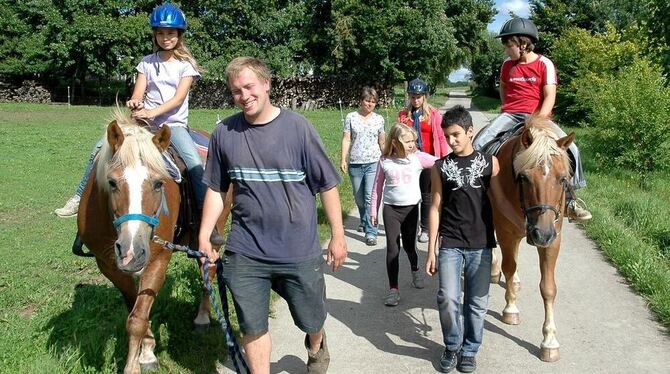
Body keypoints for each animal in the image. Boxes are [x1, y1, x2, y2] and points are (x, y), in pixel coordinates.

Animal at [77, 109, 231, 372]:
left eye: (159, 183)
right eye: (112, 182)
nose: (131, 251)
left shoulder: (157, 260)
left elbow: (137, 319)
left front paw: (136, 363)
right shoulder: (109, 266)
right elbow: (135, 310)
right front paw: (147, 349)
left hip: (212, 236)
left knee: (208, 269)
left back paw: (201, 317)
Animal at [486, 116, 576, 362]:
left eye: (562, 179)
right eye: (524, 177)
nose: (542, 234)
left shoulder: (553, 240)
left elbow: (548, 287)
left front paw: (550, 341)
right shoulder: (505, 231)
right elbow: (508, 266)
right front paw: (511, 309)